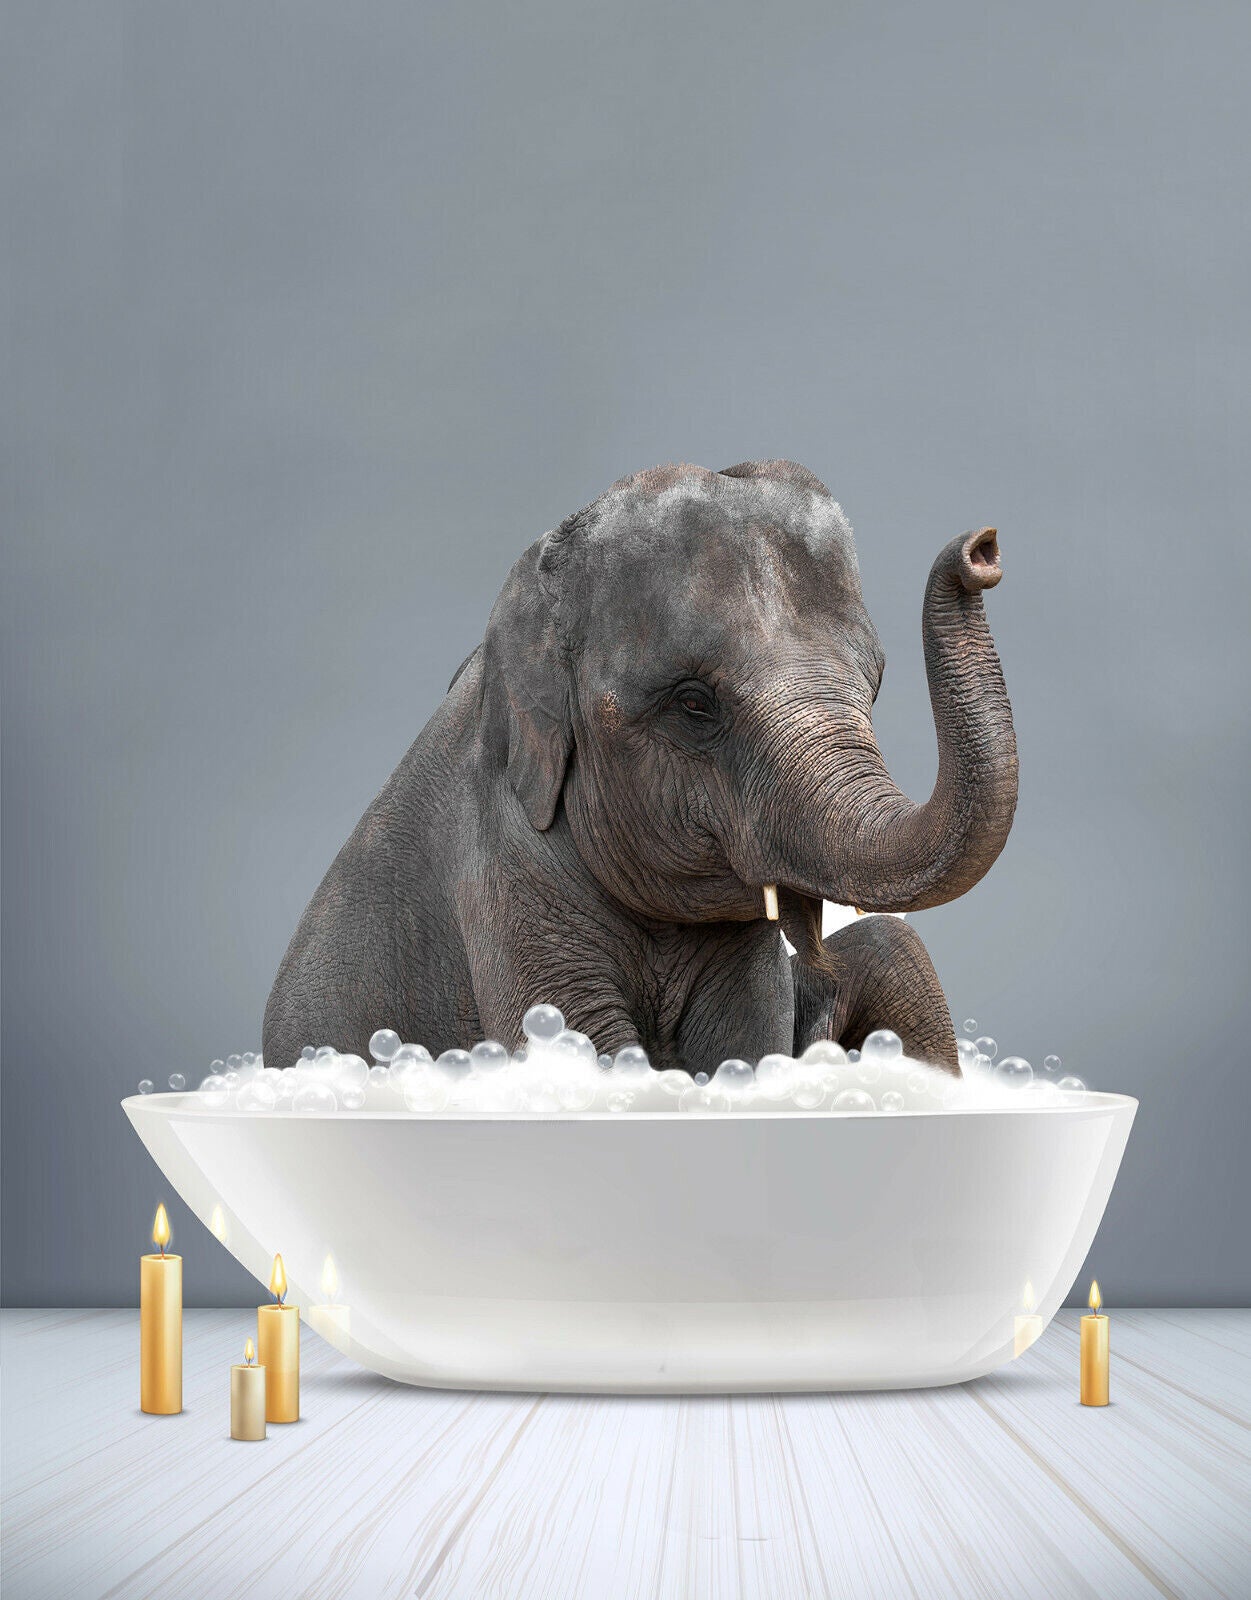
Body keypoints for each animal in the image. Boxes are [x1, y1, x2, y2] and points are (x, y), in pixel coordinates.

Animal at [263, 460, 1017, 1078]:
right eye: (693, 703)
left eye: (876, 683)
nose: (984, 549)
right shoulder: (503, 868)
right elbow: (578, 1044)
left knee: (894, 946)